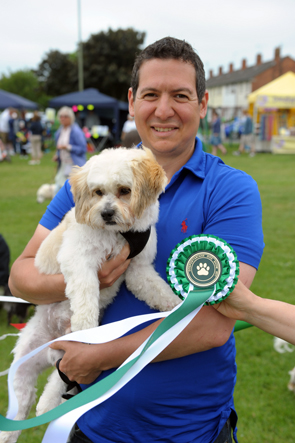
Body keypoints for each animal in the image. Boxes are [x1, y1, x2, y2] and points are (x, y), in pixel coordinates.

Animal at [0, 147, 180, 443]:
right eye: (97, 192)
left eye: (124, 190)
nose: (106, 213)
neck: (119, 235)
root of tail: (52, 346)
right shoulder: (79, 260)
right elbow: (86, 294)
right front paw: (86, 324)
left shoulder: (139, 270)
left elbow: (158, 289)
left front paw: (177, 306)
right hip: (23, 372)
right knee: (18, 415)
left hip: (66, 361)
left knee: (56, 384)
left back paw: (47, 403)